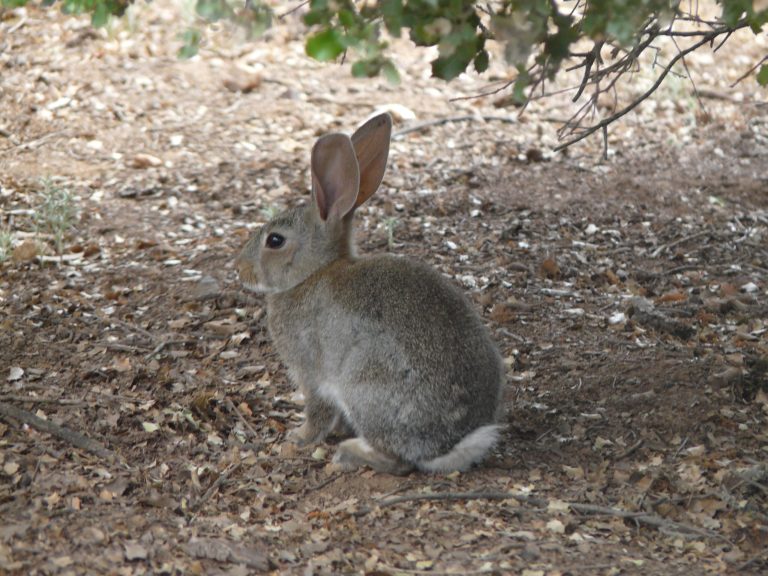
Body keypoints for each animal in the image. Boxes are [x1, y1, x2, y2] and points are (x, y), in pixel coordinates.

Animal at [236, 113, 504, 474]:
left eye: (275, 240)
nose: (239, 268)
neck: (312, 274)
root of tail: (449, 445)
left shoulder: (311, 372)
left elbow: (317, 410)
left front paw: (299, 437)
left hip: (364, 386)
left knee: (397, 460)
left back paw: (349, 453)